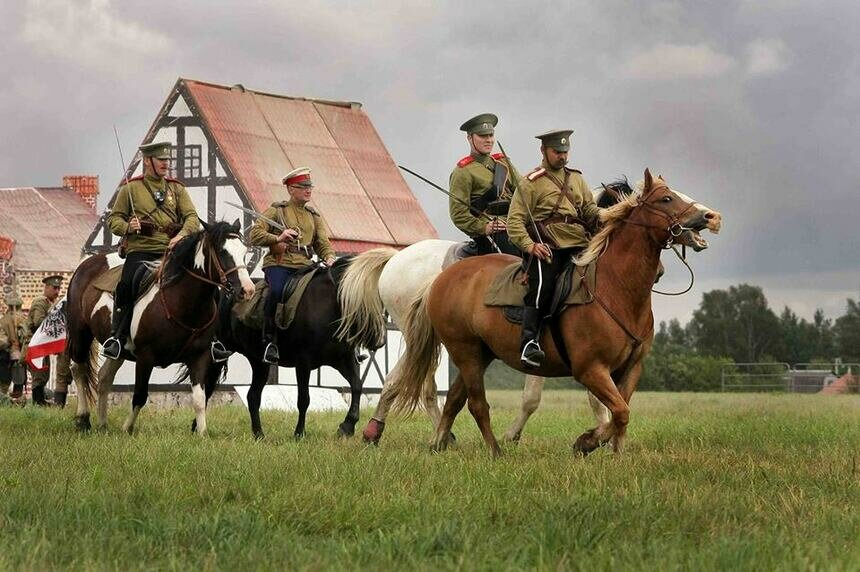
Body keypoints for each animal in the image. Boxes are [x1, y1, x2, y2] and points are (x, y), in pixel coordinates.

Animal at [65, 221, 254, 436]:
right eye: (223, 252)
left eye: (244, 251)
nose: (248, 290)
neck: (180, 302)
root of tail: (87, 263)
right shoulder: (145, 357)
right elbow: (140, 396)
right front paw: (127, 428)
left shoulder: (200, 356)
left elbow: (199, 399)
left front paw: (202, 434)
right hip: (80, 333)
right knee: (78, 369)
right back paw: (83, 419)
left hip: (117, 350)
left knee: (104, 377)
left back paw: (103, 423)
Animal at [208, 256, 386, 440]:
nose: (380, 341)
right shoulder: (303, 363)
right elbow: (304, 399)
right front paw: (299, 434)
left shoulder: (343, 359)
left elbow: (357, 385)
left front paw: (347, 427)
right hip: (219, 353)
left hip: (259, 362)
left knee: (253, 396)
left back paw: (259, 435)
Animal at [386, 170, 724, 456]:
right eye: (665, 198)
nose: (710, 216)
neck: (614, 287)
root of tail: (439, 279)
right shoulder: (590, 369)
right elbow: (613, 410)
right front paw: (586, 441)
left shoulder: (630, 369)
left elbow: (620, 413)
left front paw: (614, 453)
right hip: (462, 350)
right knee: (467, 401)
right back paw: (491, 450)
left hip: (479, 354)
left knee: (454, 399)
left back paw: (438, 442)